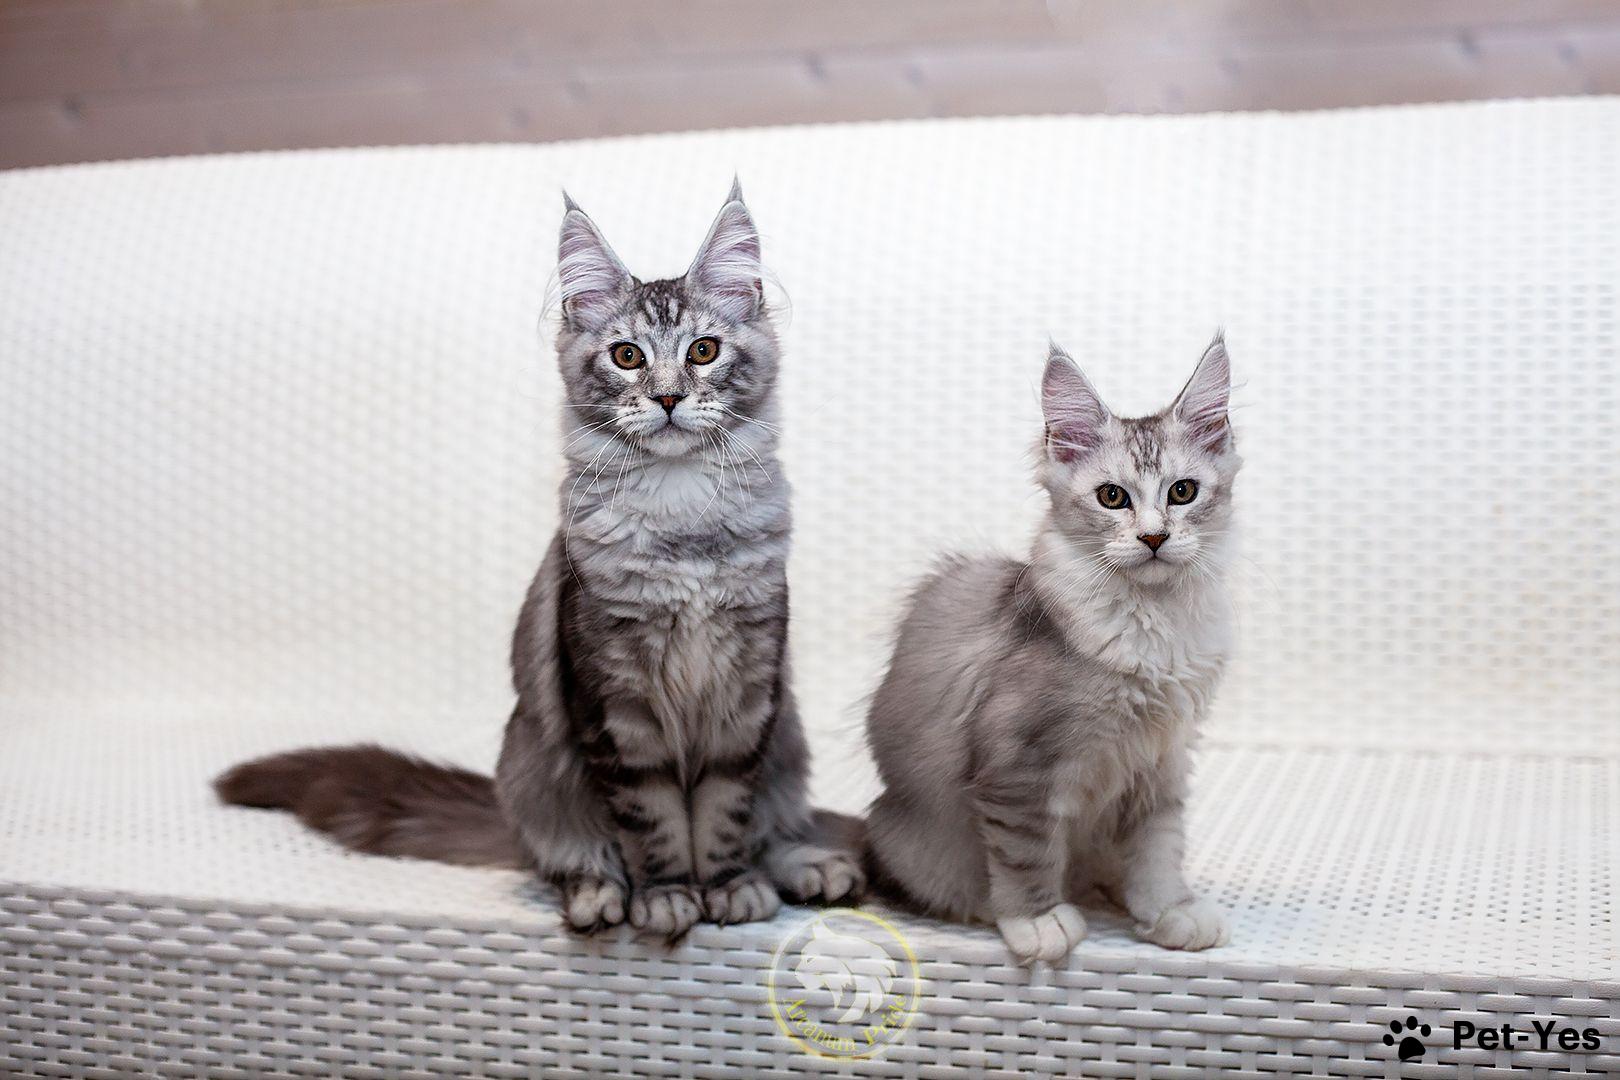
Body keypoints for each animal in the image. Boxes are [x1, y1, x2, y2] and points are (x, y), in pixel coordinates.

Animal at [216, 182, 863, 941]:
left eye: (703, 351)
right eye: (627, 357)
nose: (669, 396)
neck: (681, 518)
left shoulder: (748, 691)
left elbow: (726, 812)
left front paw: (729, 887)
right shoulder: (614, 699)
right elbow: (656, 823)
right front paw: (669, 896)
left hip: (787, 739)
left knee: (775, 828)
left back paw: (808, 867)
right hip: (529, 767)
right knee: (567, 859)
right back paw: (598, 897)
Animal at [858, 335, 1238, 964]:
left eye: (1182, 492)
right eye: (1112, 497)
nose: (1154, 537)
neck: (1153, 624)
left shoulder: (1162, 760)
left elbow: (1157, 847)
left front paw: (1169, 909)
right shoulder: (1017, 768)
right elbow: (1026, 853)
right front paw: (1036, 922)